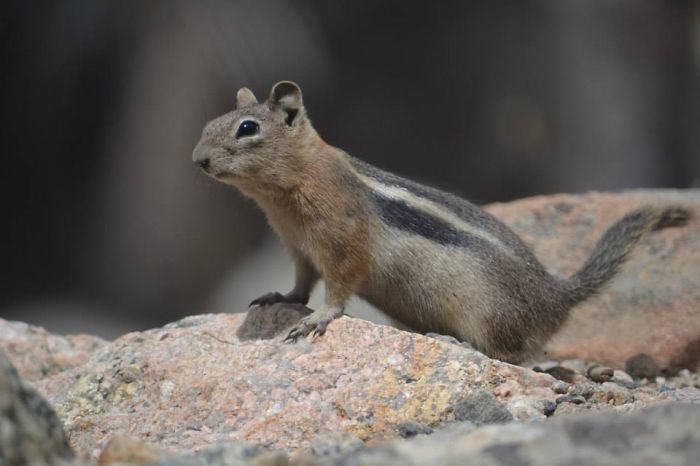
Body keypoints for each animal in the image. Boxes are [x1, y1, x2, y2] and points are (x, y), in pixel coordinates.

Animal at [192, 81, 690, 364]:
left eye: (248, 128)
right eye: (212, 120)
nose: (197, 160)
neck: (288, 189)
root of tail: (555, 297)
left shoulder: (343, 237)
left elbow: (340, 283)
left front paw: (319, 318)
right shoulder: (297, 247)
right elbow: (301, 281)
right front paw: (283, 299)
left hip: (488, 315)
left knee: (516, 355)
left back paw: (462, 344)